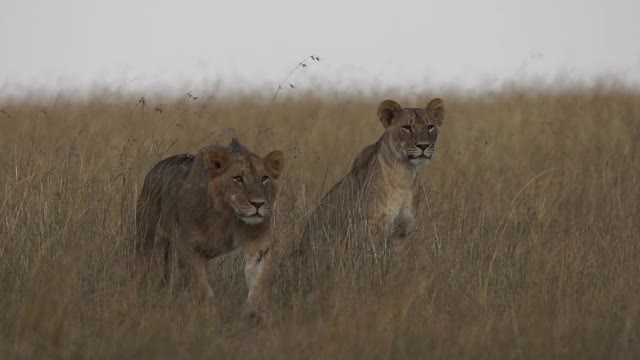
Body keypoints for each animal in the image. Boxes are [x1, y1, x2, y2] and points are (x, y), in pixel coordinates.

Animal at [136, 138, 284, 318]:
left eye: (264, 178)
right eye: (238, 178)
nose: (258, 204)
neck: (228, 215)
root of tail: (152, 172)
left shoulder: (257, 244)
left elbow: (260, 278)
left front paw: (254, 310)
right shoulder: (187, 247)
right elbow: (200, 287)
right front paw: (208, 313)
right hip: (150, 240)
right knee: (146, 268)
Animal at [298, 97, 444, 274]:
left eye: (430, 127)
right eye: (407, 127)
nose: (423, 146)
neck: (404, 176)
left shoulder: (403, 231)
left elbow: (397, 264)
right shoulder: (368, 227)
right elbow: (370, 262)